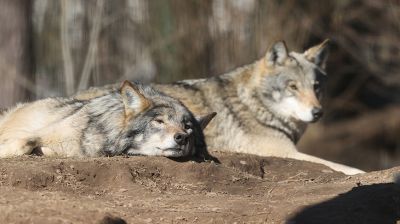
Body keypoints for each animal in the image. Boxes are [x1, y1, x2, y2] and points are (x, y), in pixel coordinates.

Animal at [76, 41, 366, 176]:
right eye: (293, 87)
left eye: (316, 87)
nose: (318, 112)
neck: (254, 105)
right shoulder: (284, 152)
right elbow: (338, 165)